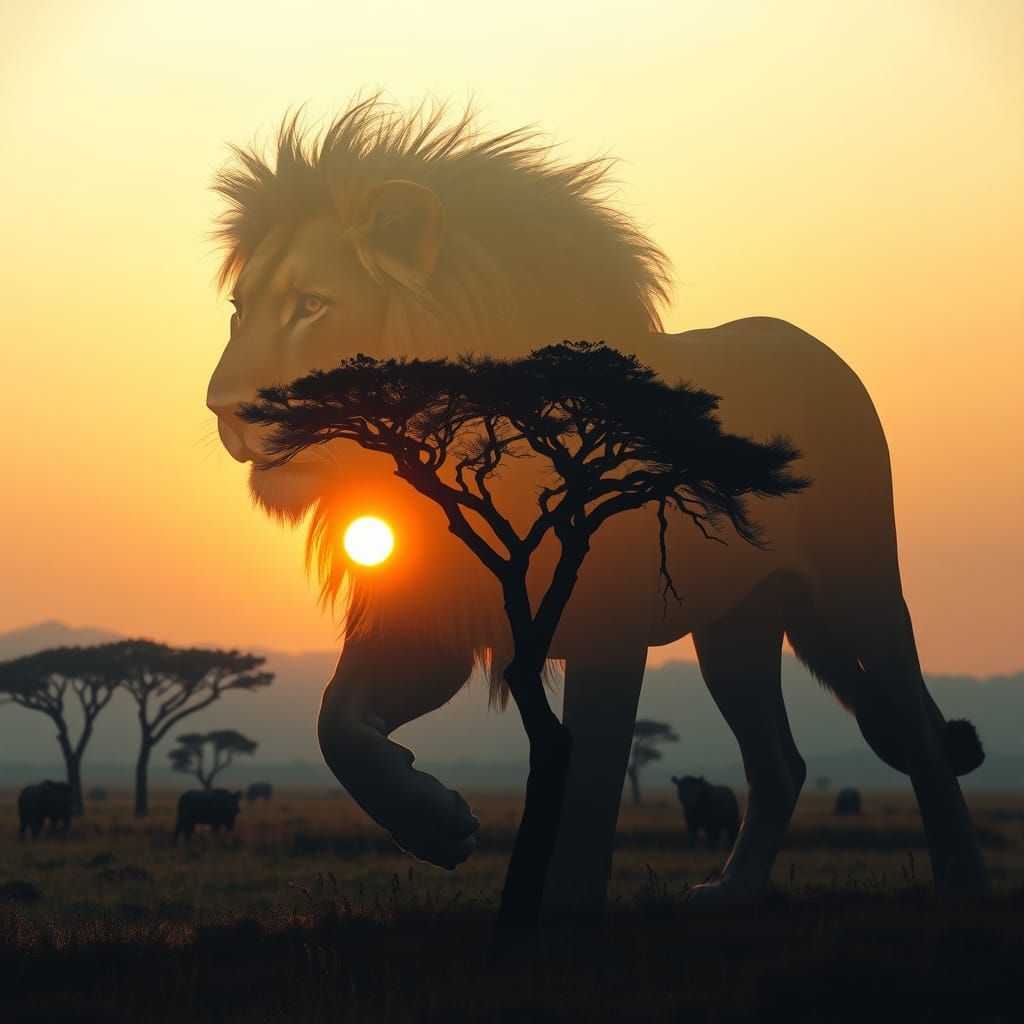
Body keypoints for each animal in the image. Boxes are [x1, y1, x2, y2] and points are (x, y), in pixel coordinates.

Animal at [207, 97, 988, 904]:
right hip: (737, 626)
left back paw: (963, 887)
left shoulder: (607, 629)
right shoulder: (432, 617)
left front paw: (561, 910)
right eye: (238, 308)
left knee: (920, 736)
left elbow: (588, 786)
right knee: (781, 761)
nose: (221, 409)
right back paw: (732, 889)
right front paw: (437, 822)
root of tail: (817, 349)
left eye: (311, 305)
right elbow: (335, 726)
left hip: (857, 588)